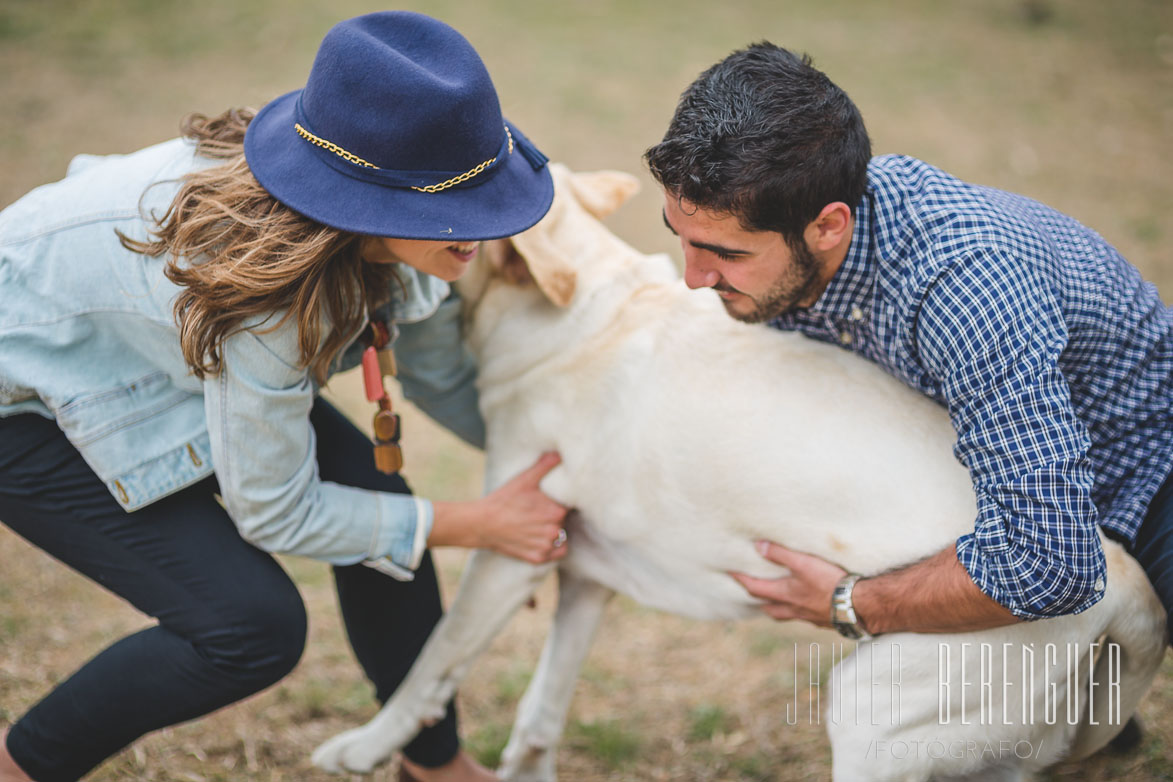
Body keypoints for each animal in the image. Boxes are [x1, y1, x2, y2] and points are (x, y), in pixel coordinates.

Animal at [312, 165, 1163, 782]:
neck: (590, 313)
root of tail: (1120, 576)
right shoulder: (585, 575)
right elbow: (540, 712)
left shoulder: (511, 553)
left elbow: (432, 662)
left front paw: (362, 748)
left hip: (870, 719)